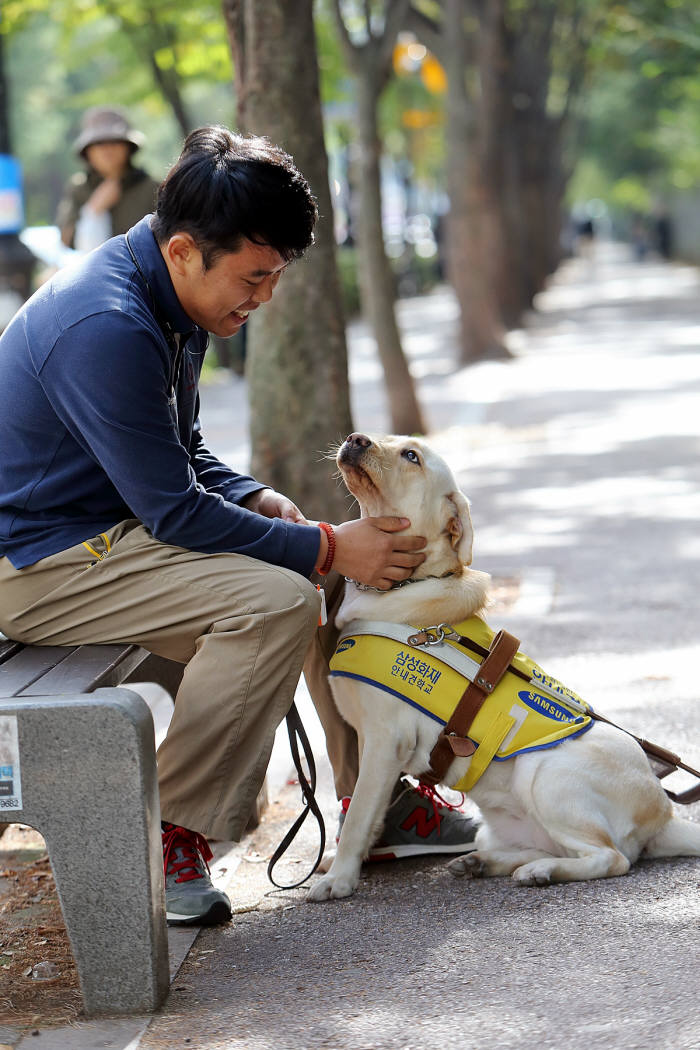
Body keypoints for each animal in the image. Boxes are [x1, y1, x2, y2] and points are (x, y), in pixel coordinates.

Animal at [310, 430, 700, 898]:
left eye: (411, 456)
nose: (356, 438)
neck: (401, 588)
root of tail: (666, 814)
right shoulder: (369, 740)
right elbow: (363, 812)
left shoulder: (387, 740)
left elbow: (359, 815)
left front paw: (338, 879)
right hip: (501, 823)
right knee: (547, 848)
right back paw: (485, 863)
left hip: (544, 772)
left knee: (612, 858)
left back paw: (541, 872)